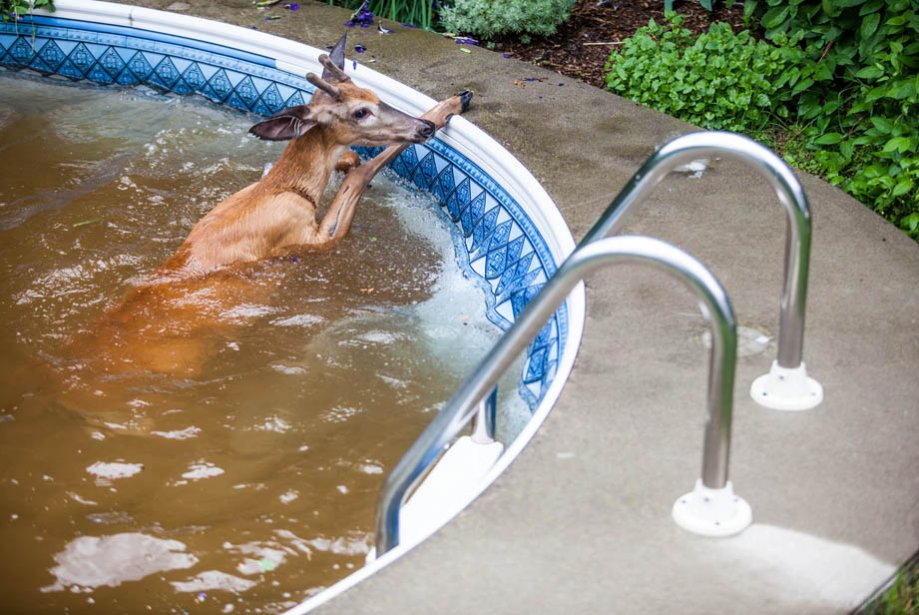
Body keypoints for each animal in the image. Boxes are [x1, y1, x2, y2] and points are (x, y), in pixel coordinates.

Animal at [55, 32, 474, 428]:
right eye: (360, 111)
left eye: (375, 95)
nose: (421, 128)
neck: (285, 186)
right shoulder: (307, 237)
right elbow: (362, 176)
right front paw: (447, 107)